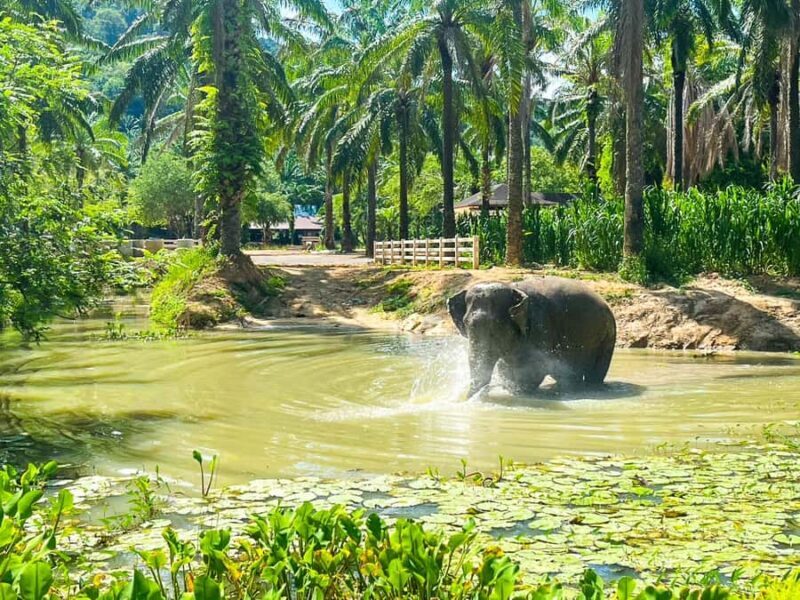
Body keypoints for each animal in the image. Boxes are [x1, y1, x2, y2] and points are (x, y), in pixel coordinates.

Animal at [447, 277, 616, 395]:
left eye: (496, 326)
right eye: (465, 323)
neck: (514, 288)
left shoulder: (539, 325)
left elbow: (534, 369)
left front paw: (518, 393)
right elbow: (505, 369)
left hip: (607, 337)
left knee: (595, 373)